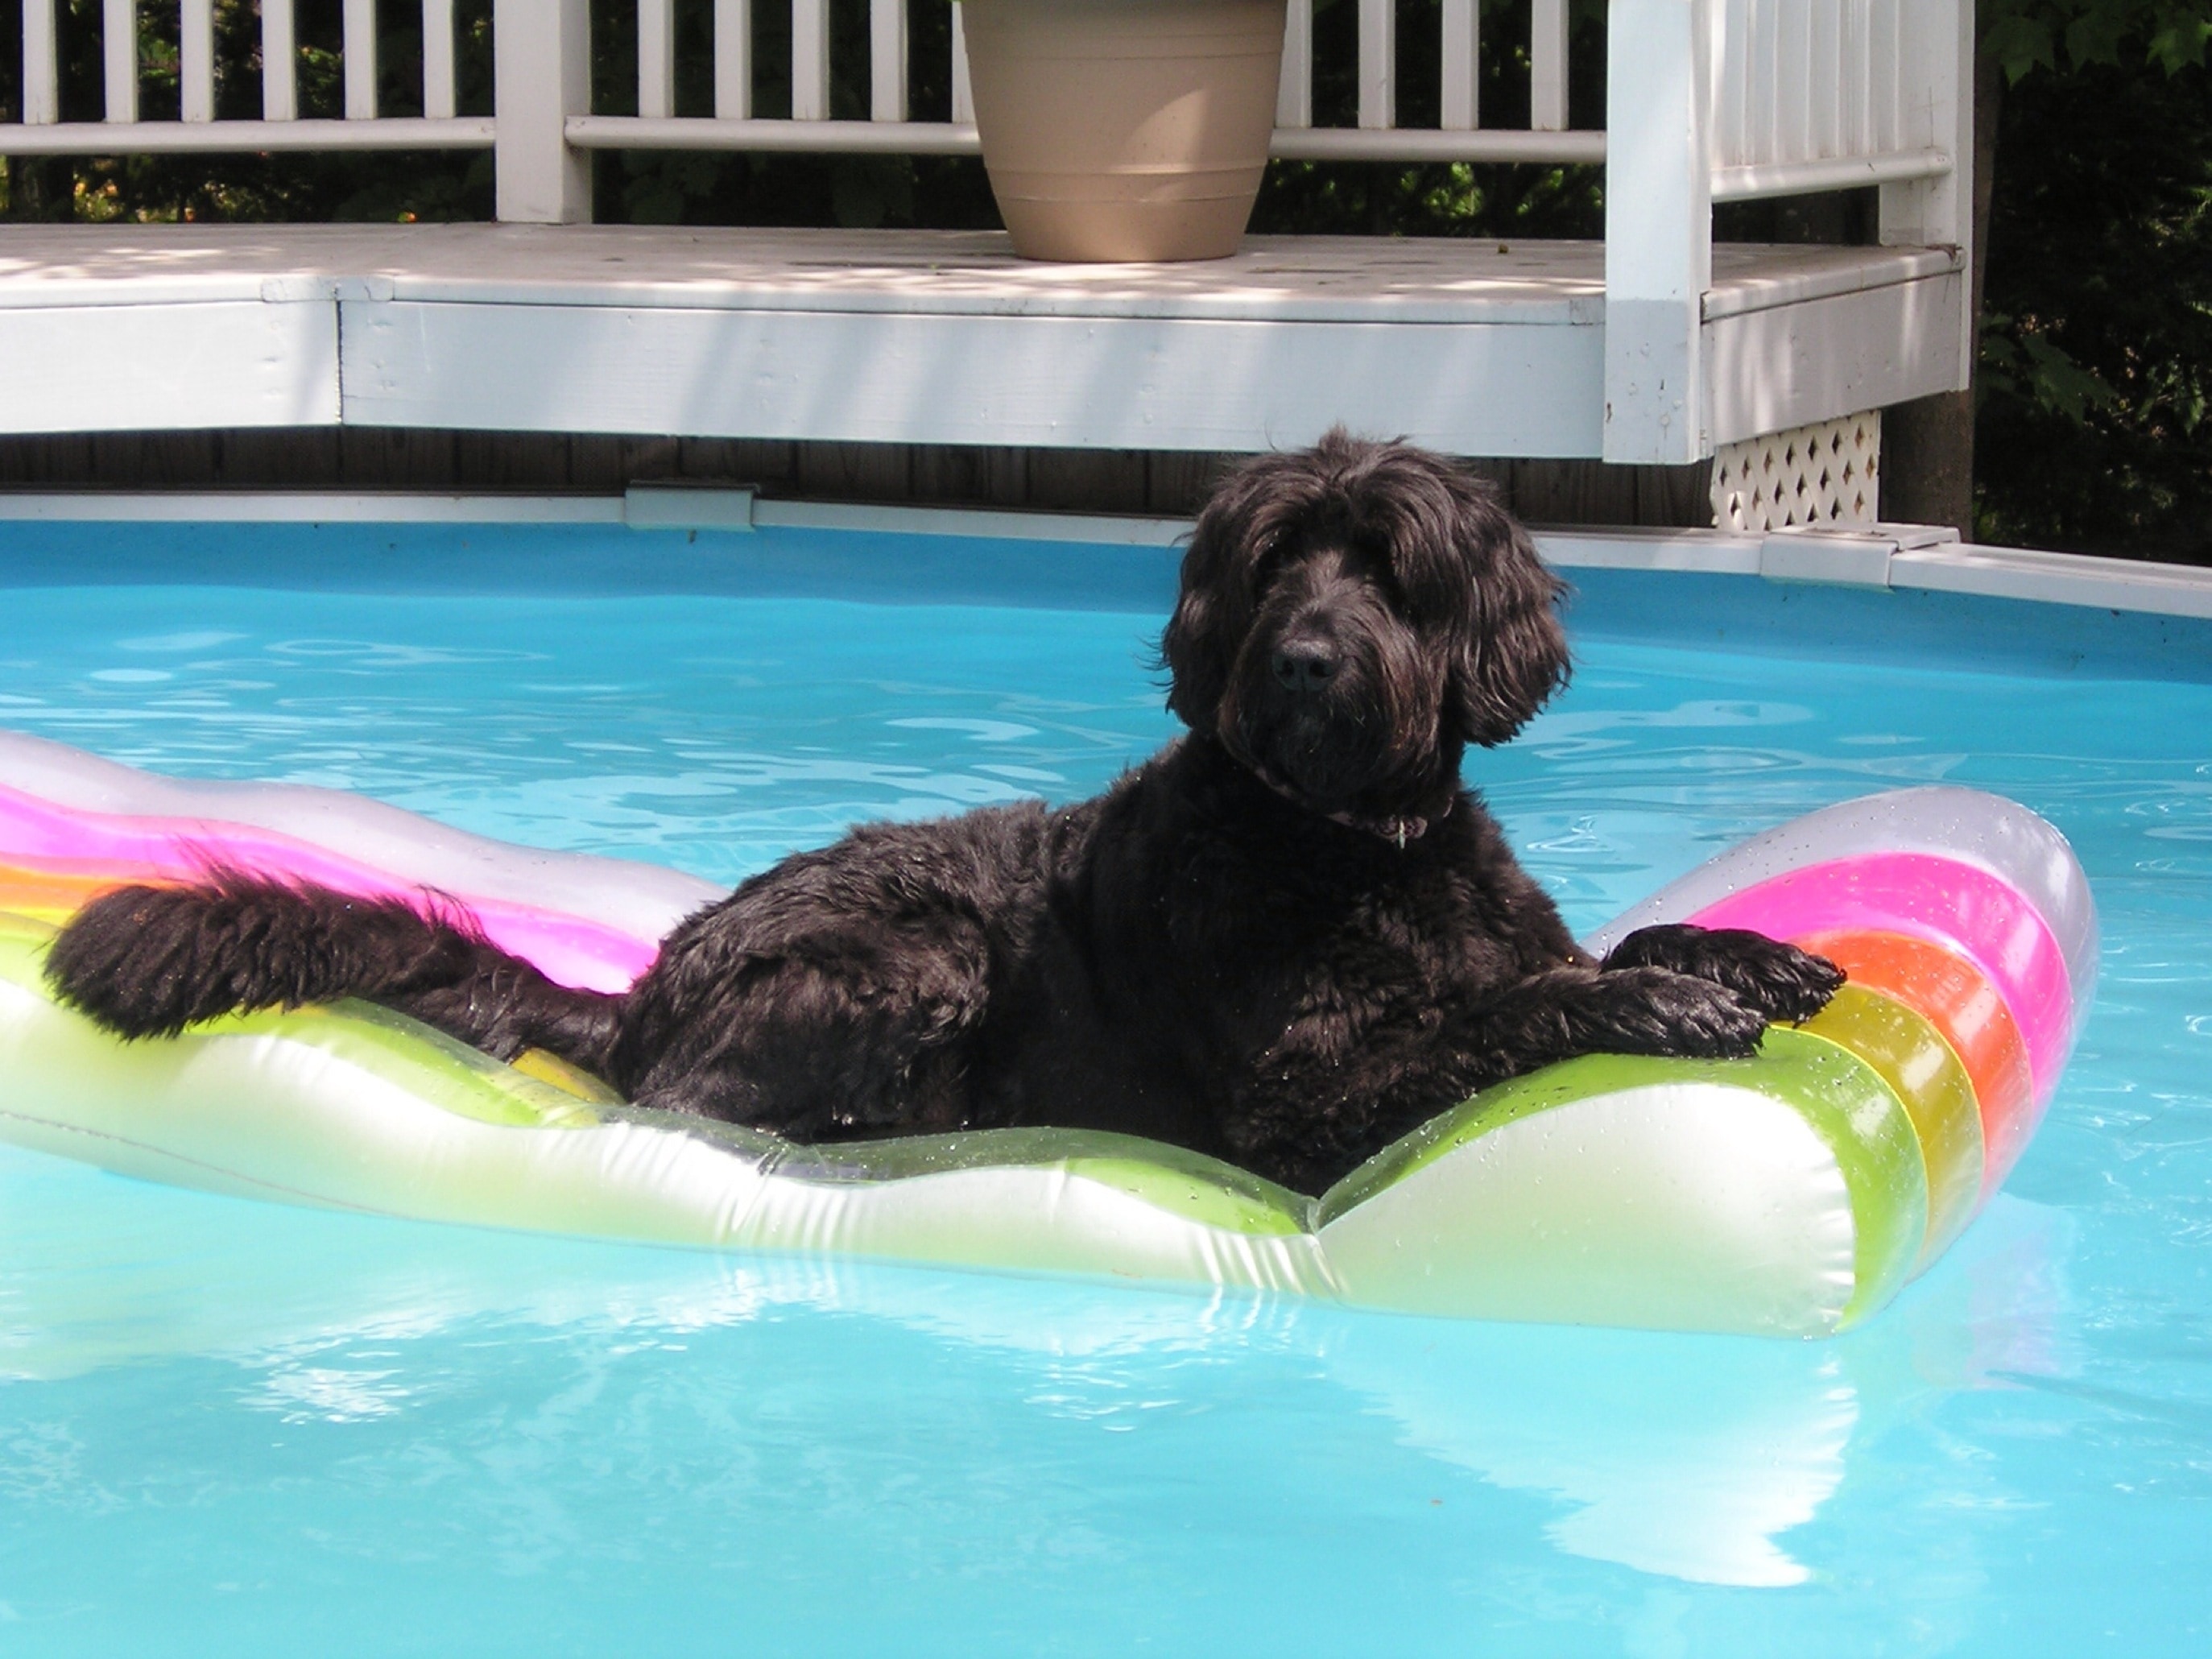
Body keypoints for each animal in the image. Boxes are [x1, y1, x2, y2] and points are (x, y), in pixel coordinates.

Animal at [43, 437, 1840, 1194]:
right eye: (1272, 564)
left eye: (1389, 570)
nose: (1307, 661)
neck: (1345, 841)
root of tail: (648, 993)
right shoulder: (1295, 1109)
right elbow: (1510, 1005)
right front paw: (1650, 1002)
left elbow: (1584, 944)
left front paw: (1733, 952)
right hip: (914, 957)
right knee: (703, 1107)